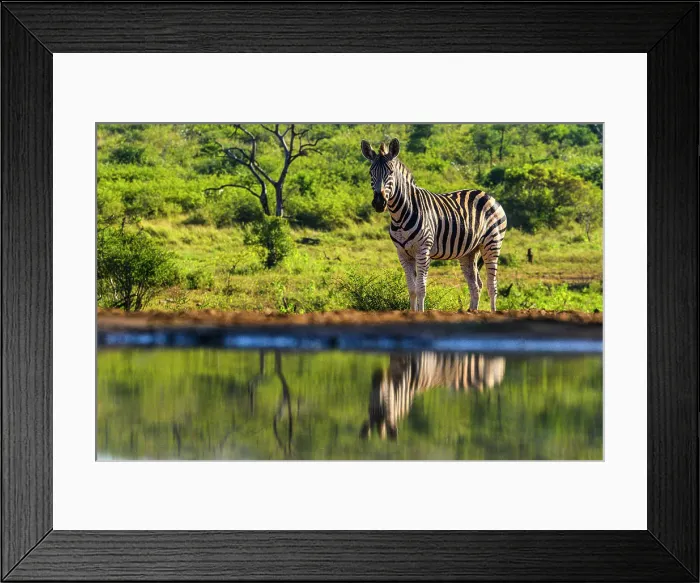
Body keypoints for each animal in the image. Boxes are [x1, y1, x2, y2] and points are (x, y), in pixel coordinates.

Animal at [361, 138, 508, 311]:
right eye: (370, 173)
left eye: (390, 172)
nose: (379, 203)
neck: (400, 215)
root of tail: (487, 195)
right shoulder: (403, 254)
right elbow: (411, 289)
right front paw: (411, 312)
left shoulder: (423, 251)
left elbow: (421, 288)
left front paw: (421, 313)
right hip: (469, 251)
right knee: (476, 285)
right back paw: (472, 312)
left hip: (492, 244)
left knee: (492, 285)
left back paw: (492, 311)